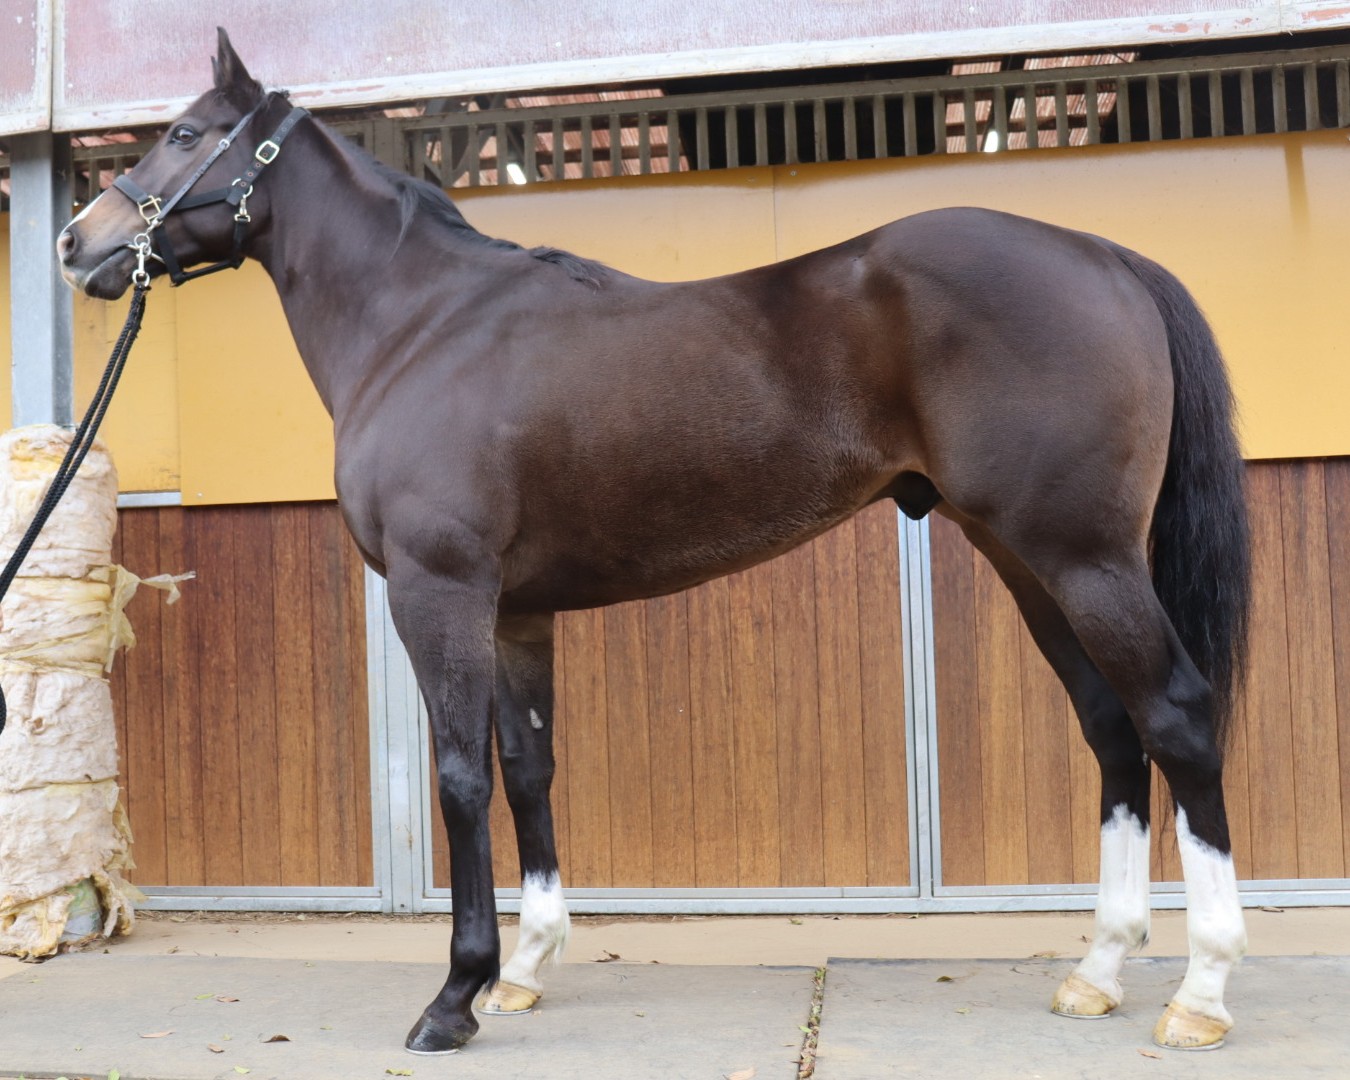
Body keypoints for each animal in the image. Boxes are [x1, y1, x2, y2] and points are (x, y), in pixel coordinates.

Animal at [58, 30, 1251, 1056]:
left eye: (180, 133)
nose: (79, 243)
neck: (422, 327)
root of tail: (1101, 255)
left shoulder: (441, 593)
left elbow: (460, 776)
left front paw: (455, 996)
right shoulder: (518, 610)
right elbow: (529, 766)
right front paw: (526, 968)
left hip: (1084, 559)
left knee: (1177, 718)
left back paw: (1199, 992)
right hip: (1031, 564)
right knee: (1112, 732)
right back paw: (1098, 969)